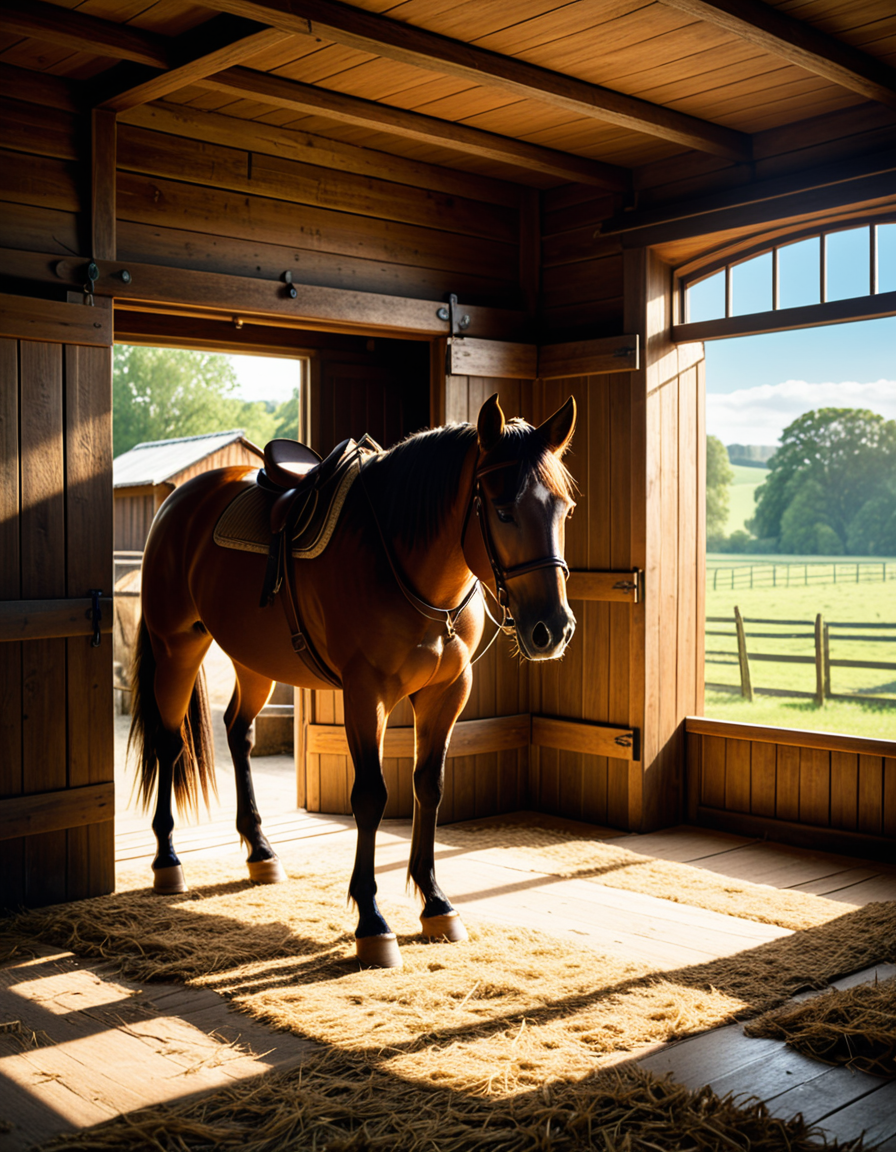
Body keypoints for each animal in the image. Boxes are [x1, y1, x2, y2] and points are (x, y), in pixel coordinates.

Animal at [129, 393, 577, 967]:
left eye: (563, 509)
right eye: (502, 511)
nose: (552, 629)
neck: (406, 559)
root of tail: (179, 501)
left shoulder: (448, 693)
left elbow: (429, 787)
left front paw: (435, 902)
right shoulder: (367, 695)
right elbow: (370, 796)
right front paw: (372, 921)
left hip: (253, 661)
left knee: (238, 732)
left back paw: (260, 850)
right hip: (176, 647)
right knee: (169, 744)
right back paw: (167, 860)